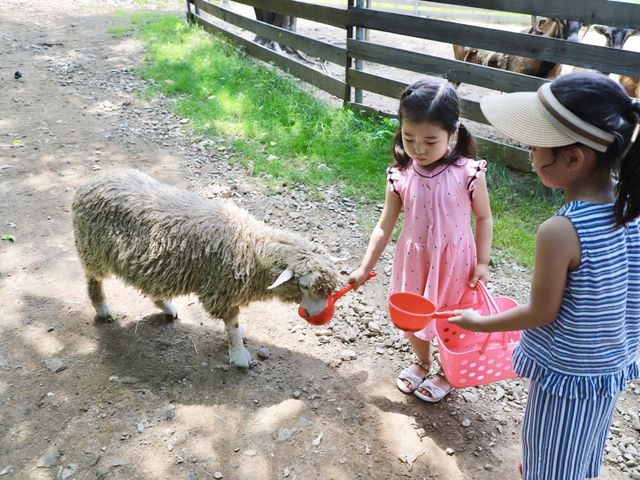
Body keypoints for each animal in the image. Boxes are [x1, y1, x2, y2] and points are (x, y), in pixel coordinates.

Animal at [70, 169, 340, 368]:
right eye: (303, 285)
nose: (320, 316)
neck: (251, 247)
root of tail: (89, 183)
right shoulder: (221, 291)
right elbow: (231, 325)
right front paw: (239, 356)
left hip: (151, 265)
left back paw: (167, 307)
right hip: (92, 249)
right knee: (93, 280)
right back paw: (102, 308)